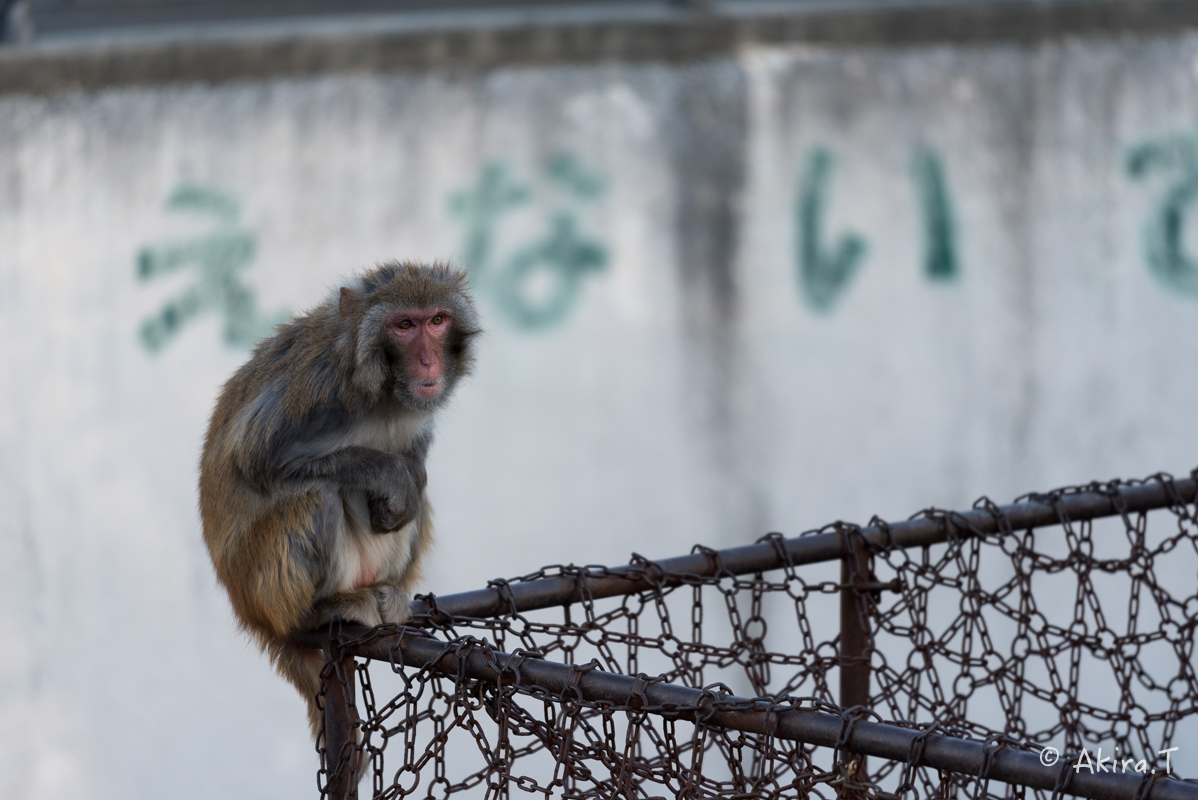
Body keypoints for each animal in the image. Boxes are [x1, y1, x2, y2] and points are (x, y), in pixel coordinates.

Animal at [198, 259, 479, 732]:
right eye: (404, 325)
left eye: (438, 320)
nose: (428, 360)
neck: (384, 393)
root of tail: (253, 615)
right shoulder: (316, 385)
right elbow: (256, 459)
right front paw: (390, 474)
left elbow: (416, 461)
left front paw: (409, 475)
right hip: (264, 587)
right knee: (316, 494)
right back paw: (317, 611)